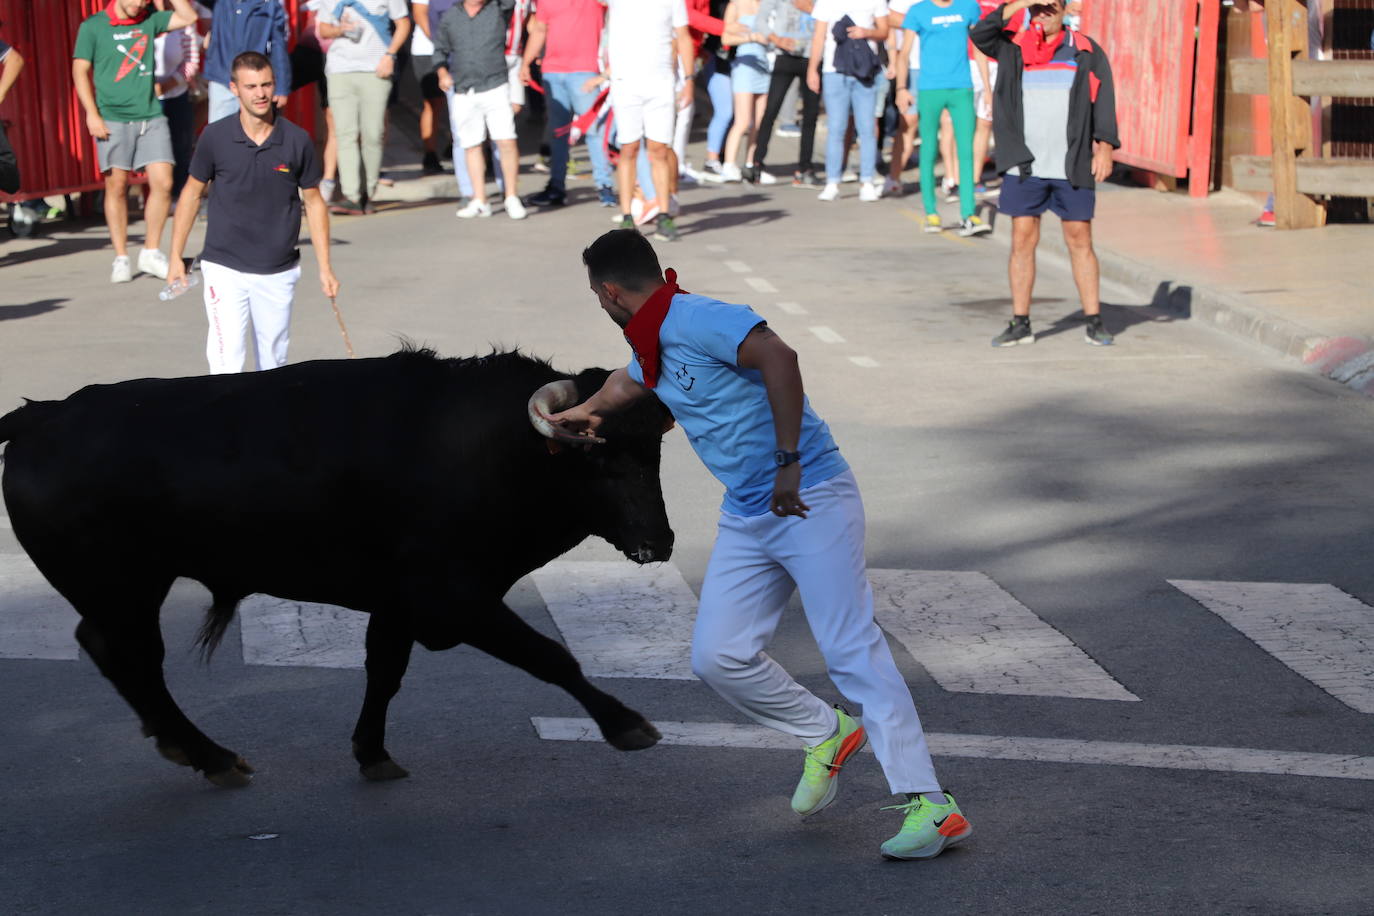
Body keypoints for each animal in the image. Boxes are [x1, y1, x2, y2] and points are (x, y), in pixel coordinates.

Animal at [0, 351, 670, 791]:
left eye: (654, 452)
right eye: (598, 457)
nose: (659, 543)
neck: (488, 447)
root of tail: (42, 417)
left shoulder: (399, 604)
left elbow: (384, 672)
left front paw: (372, 752)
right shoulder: (451, 597)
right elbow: (552, 657)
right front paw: (626, 724)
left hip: (127, 591)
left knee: (118, 655)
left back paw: (188, 747)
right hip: (124, 589)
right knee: (129, 657)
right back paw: (209, 755)